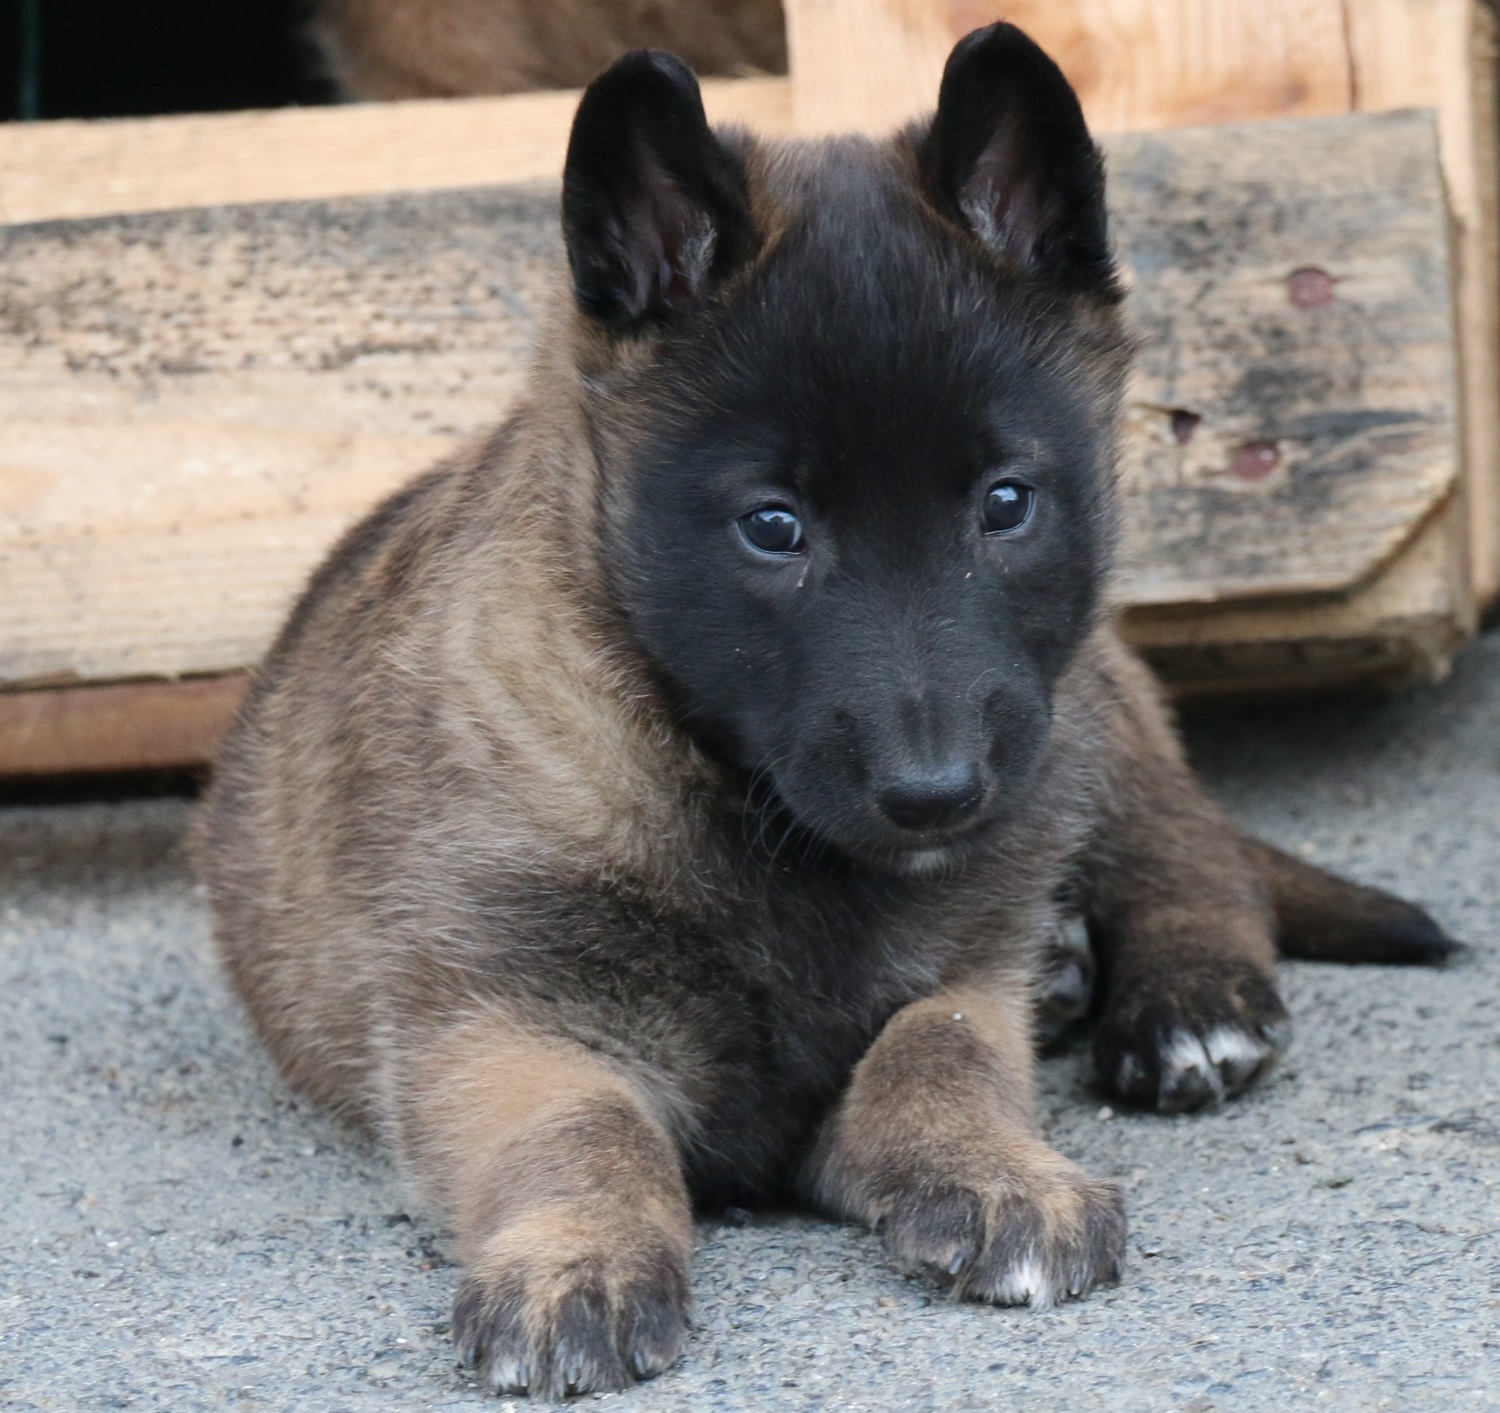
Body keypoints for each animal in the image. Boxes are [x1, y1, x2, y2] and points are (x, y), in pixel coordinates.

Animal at [193, 22, 1458, 1404]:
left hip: (1081, 722)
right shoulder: (494, 1029)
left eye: (1005, 504)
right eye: (773, 527)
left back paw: (1186, 1004)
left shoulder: (960, 973)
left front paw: (1001, 1170)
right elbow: (581, 1130)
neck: (735, 802)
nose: (936, 794)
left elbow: (937, 1052)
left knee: (1195, 853)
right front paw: (574, 1260)